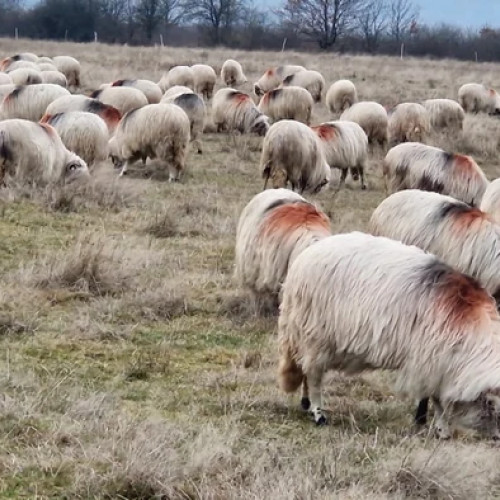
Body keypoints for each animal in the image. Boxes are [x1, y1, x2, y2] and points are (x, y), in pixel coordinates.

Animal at [278, 230, 500, 438]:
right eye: (494, 405)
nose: (497, 438)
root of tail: (302, 259)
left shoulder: (438, 363)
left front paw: (430, 424)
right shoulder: (431, 360)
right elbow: (435, 398)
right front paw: (438, 427)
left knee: (305, 369)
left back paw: (306, 404)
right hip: (315, 336)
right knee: (314, 377)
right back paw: (318, 414)